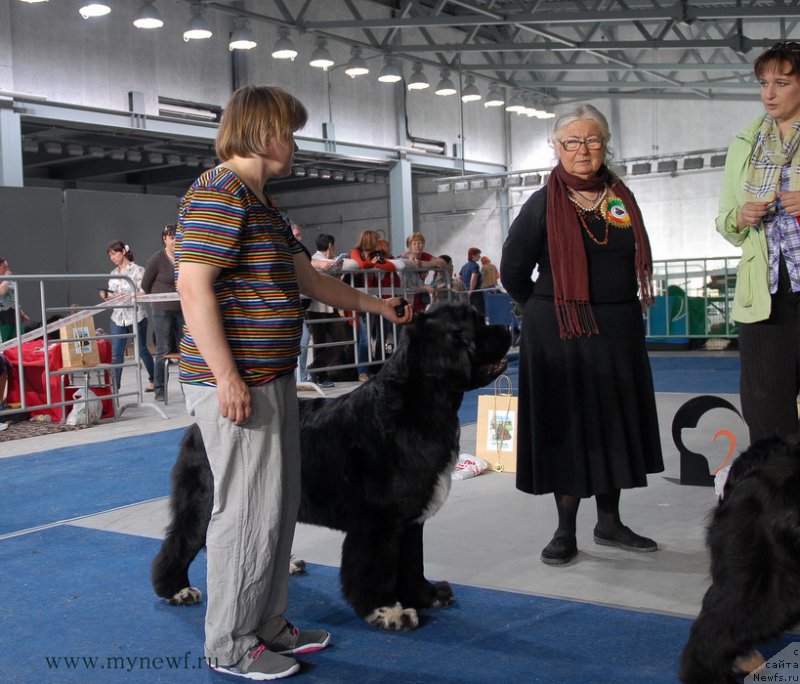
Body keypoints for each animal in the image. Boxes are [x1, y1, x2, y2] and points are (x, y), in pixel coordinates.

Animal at [152, 304, 512, 632]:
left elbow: (412, 562)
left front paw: (427, 595)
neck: (415, 405)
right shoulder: (379, 521)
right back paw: (176, 590)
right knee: (180, 541)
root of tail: (198, 426)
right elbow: (377, 569)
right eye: (476, 324)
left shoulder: (410, 519)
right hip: (204, 500)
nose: (509, 327)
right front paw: (388, 611)